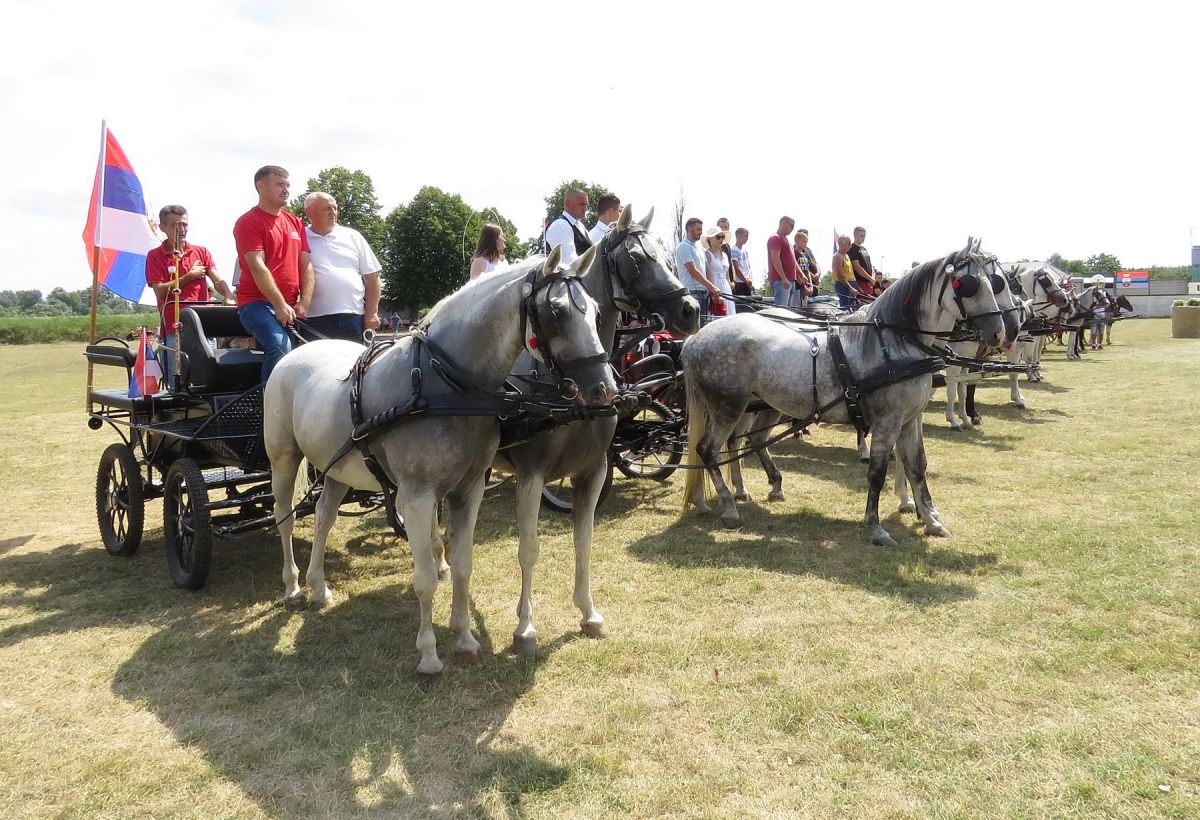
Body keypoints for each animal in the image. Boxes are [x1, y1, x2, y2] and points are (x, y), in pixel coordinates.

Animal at [264, 248, 619, 672]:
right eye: (558, 313)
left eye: (596, 312)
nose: (604, 389)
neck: (445, 385)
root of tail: (293, 353)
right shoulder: (419, 496)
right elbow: (425, 579)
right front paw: (430, 655)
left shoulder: (470, 488)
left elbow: (463, 562)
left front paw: (465, 639)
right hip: (284, 459)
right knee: (284, 518)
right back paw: (292, 587)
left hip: (337, 470)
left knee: (323, 518)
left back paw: (319, 586)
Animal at [494, 205, 700, 653]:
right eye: (637, 259)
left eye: (666, 255)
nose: (691, 310)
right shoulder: (531, 475)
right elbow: (528, 548)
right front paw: (525, 627)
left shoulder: (593, 469)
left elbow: (584, 539)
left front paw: (589, 614)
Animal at [681, 240, 1008, 547]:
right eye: (971, 285)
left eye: (994, 282)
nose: (1000, 333)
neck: (895, 342)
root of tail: (694, 339)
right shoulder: (887, 421)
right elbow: (877, 471)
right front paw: (876, 527)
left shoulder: (909, 419)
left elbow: (917, 466)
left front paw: (930, 520)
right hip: (727, 407)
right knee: (708, 449)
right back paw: (729, 505)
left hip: (757, 406)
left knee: (743, 442)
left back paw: (733, 493)